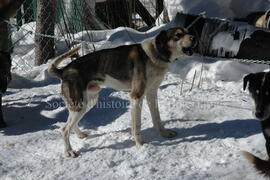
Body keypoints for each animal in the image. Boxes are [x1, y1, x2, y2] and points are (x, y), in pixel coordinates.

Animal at [48, 27, 196, 157]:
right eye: (178, 35)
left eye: (188, 31)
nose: (194, 38)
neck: (156, 54)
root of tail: (64, 70)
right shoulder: (136, 96)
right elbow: (137, 126)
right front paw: (140, 145)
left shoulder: (152, 93)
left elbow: (157, 118)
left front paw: (164, 133)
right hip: (80, 104)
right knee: (64, 129)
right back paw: (69, 152)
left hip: (88, 102)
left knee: (71, 124)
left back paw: (80, 135)